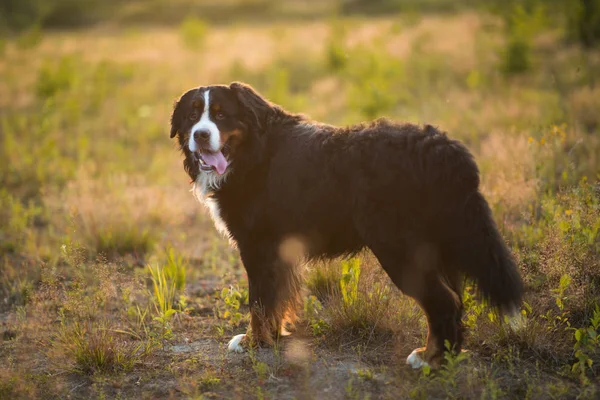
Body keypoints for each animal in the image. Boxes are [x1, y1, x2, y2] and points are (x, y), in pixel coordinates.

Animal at [170, 81, 524, 368]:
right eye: (192, 116)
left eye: (220, 115)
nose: (201, 134)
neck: (250, 153)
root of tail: (443, 148)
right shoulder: (279, 251)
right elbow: (278, 298)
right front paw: (274, 335)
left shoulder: (257, 246)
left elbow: (259, 301)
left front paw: (253, 342)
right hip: (440, 247)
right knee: (455, 301)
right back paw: (447, 354)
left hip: (399, 250)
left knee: (444, 302)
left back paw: (429, 359)